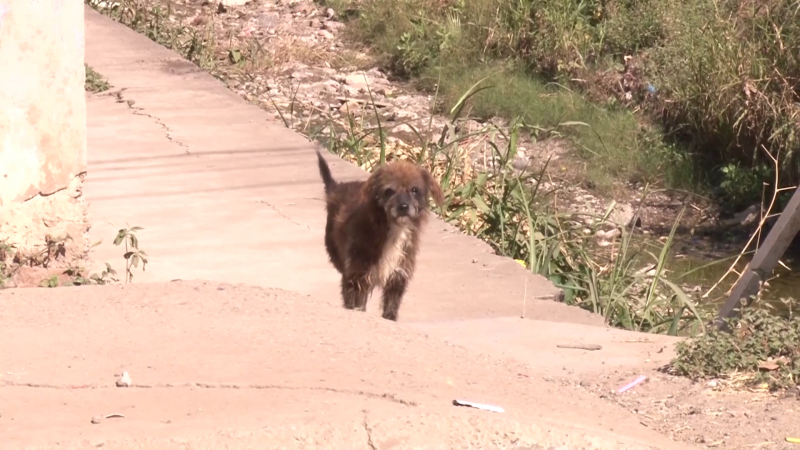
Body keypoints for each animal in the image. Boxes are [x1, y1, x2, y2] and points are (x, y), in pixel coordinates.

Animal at [316, 150, 444, 320]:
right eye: (389, 191)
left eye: (414, 190)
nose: (404, 206)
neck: (394, 230)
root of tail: (337, 187)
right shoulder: (357, 274)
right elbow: (355, 303)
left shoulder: (397, 277)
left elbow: (390, 308)